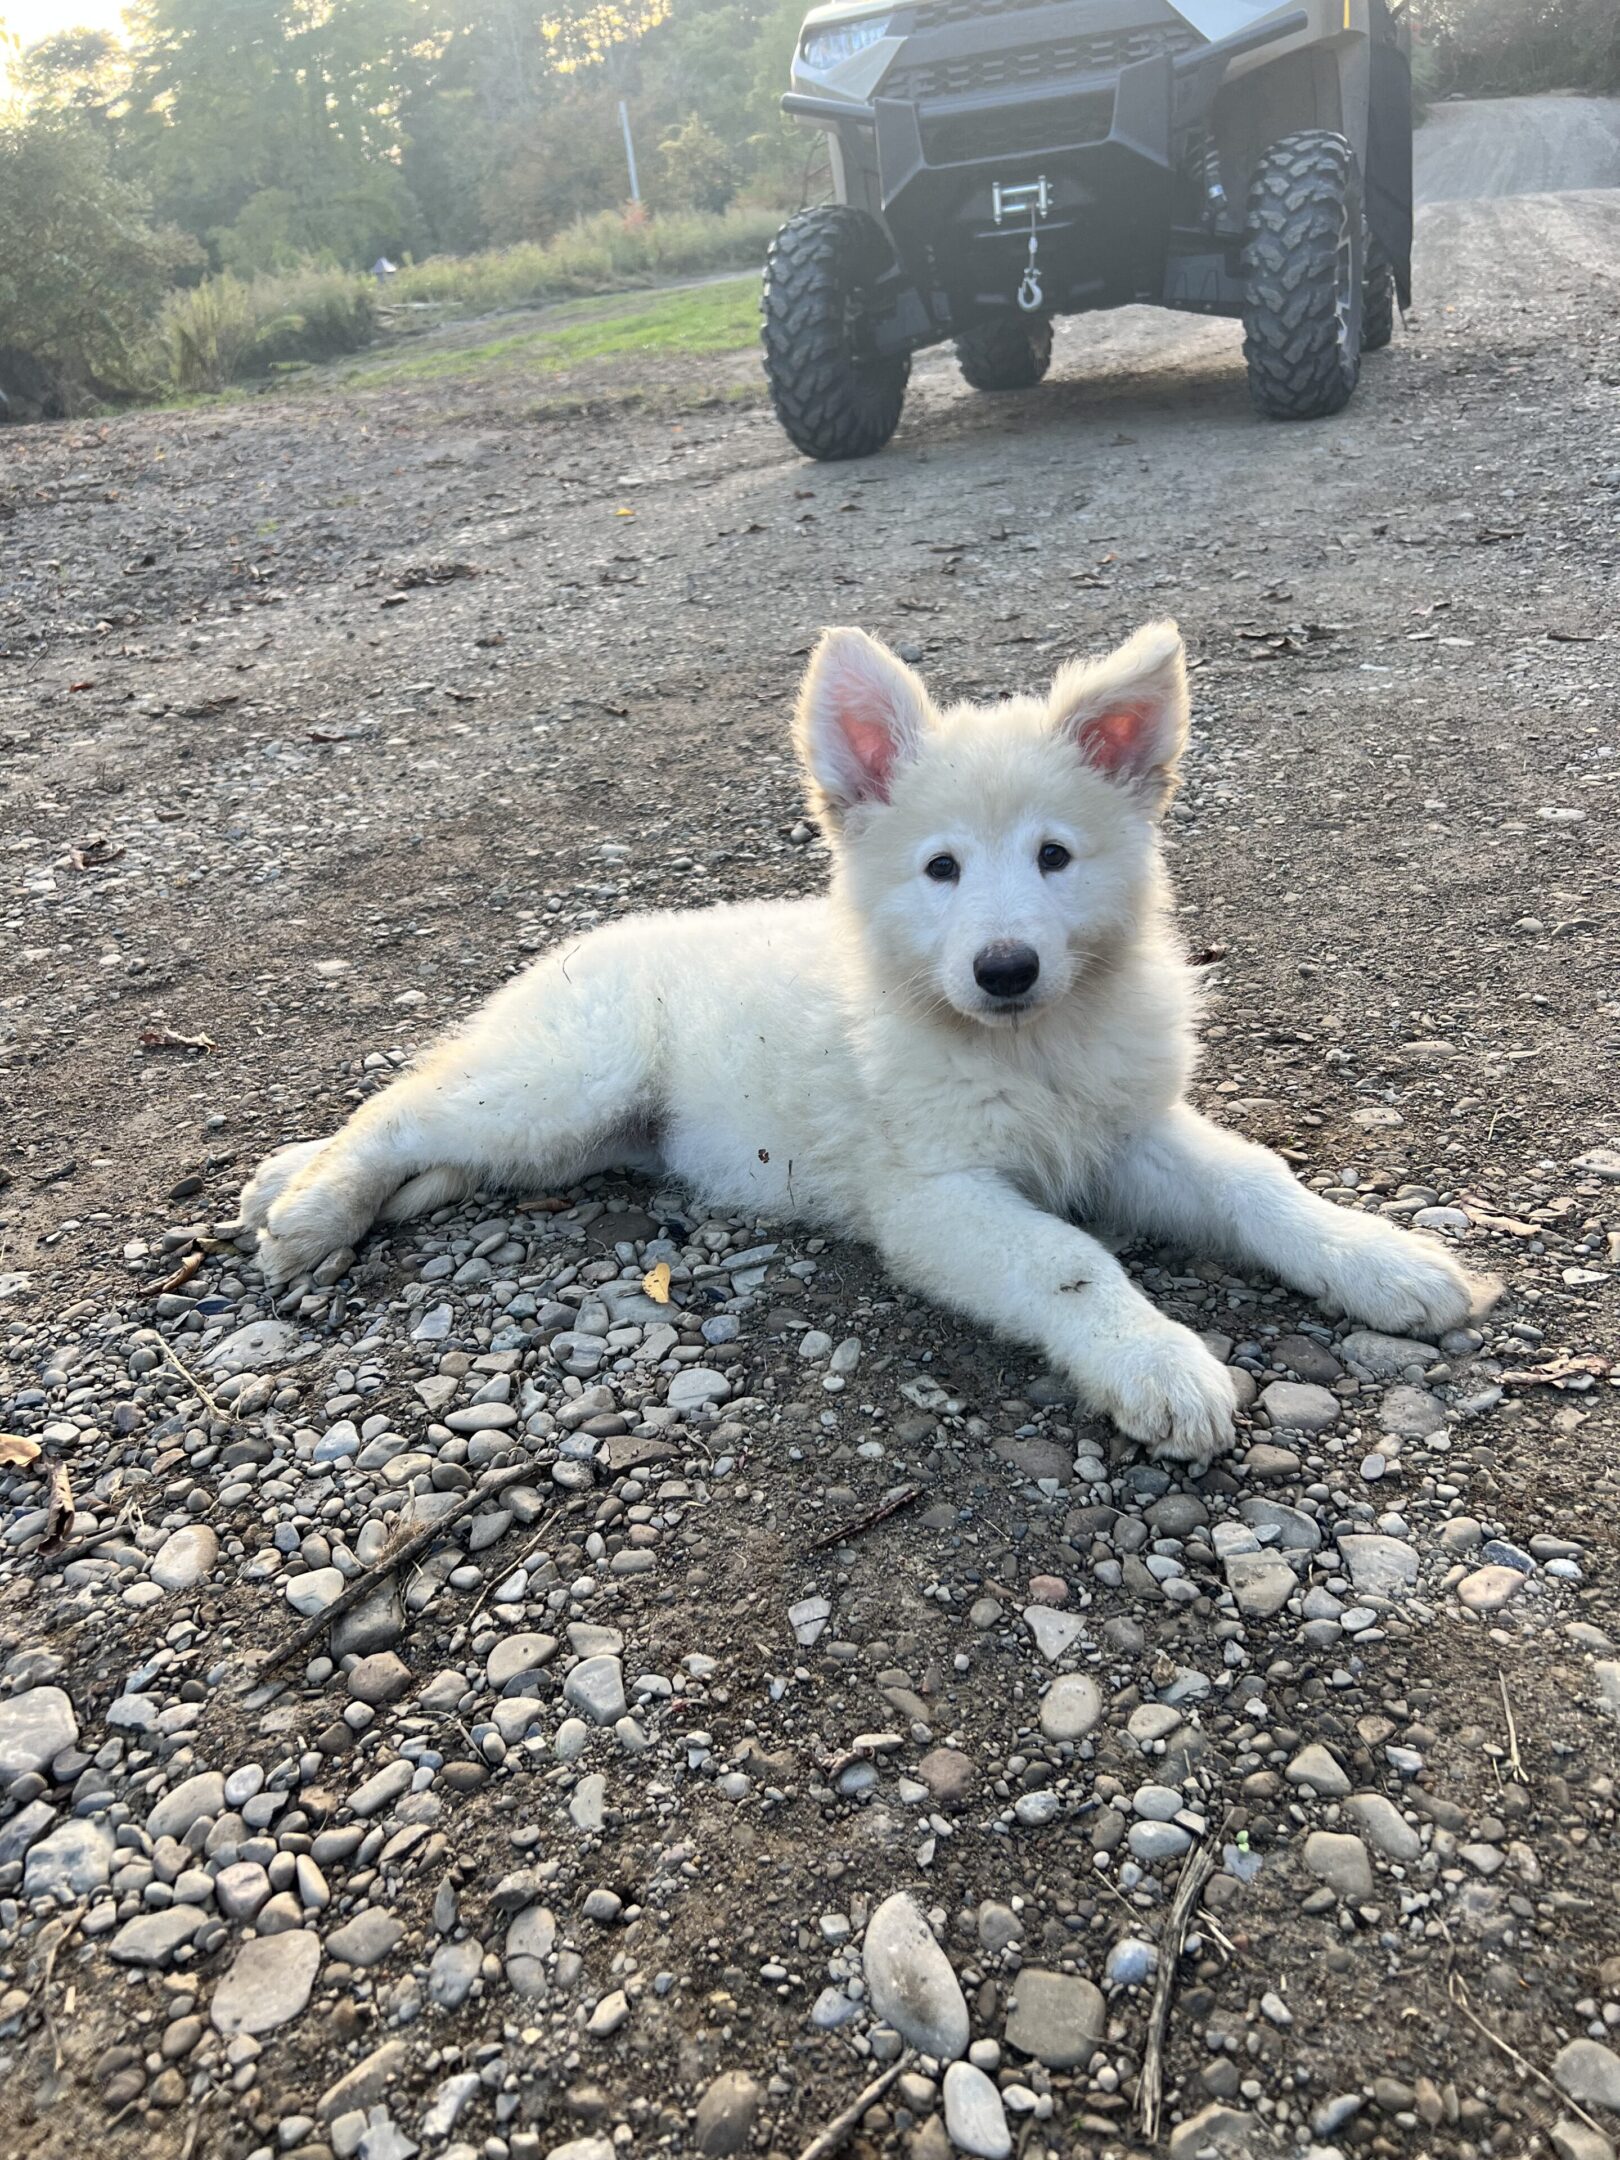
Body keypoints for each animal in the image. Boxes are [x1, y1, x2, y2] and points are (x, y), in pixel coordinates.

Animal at [240, 626, 1494, 1468]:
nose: (1005, 968)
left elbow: (1258, 1184)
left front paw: (1380, 1259)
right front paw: (1157, 1362)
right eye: (941, 869)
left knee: (439, 1141)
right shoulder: (935, 1195)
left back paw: (319, 1188)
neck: (1027, 1047)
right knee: (399, 1107)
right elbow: (1071, 1262)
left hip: (574, 1137)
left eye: (1054, 857)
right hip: (563, 1083)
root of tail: (574, 952)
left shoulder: (1128, 1130)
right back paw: (311, 1207)